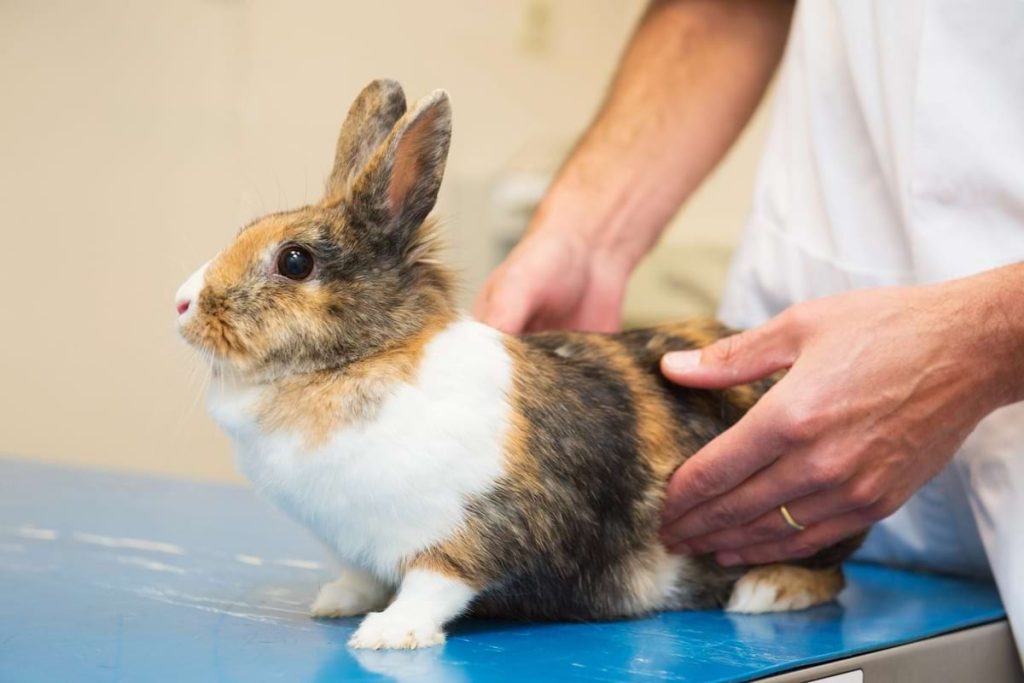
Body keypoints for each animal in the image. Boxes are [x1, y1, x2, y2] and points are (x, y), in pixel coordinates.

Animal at [176, 80, 864, 650]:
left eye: (294, 261)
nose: (181, 303)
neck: (367, 358)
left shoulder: (472, 529)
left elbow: (435, 583)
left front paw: (389, 635)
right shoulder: (359, 544)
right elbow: (363, 576)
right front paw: (337, 602)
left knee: (831, 575)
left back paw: (766, 592)